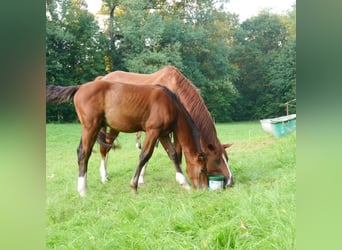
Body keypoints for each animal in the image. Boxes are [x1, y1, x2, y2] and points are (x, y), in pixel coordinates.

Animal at [45, 80, 206, 197]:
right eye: (203, 170)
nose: (203, 188)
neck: (170, 104)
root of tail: (80, 87)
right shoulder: (153, 131)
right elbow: (144, 156)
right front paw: (134, 186)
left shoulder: (163, 134)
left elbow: (172, 154)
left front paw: (184, 183)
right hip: (90, 128)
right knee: (84, 153)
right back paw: (83, 190)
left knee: (82, 151)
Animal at [97, 65, 234, 188]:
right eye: (216, 160)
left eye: (227, 158)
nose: (230, 182)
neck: (175, 89)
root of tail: (103, 78)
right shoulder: (159, 130)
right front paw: (141, 179)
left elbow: (176, 153)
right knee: (104, 148)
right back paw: (103, 176)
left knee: (108, 146)